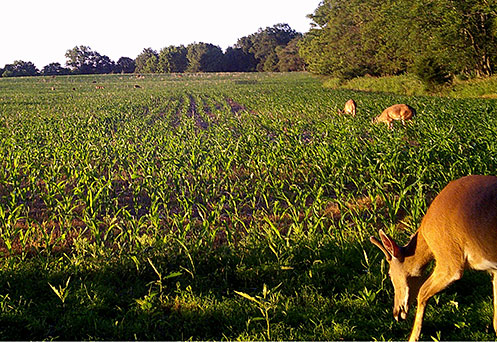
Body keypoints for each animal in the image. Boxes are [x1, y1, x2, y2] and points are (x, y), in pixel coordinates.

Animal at [370, 175, 496, 340]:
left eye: (389, 274)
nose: (396, 313)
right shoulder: (493, 269)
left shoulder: (450, 261)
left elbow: (422, 292)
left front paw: (413, 337)